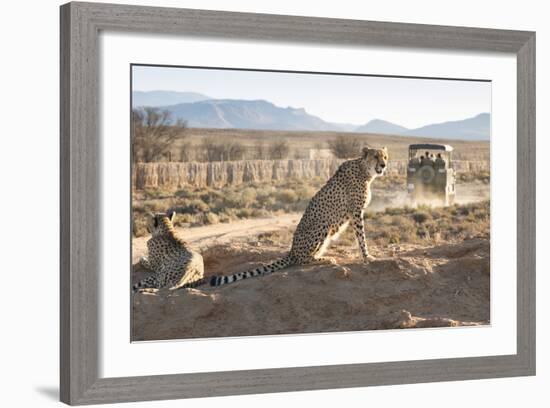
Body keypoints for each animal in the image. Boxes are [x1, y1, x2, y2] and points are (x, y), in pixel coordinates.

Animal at [209, 147, 390, 286]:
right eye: (375, 156)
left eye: (385, 156)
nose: (383, 165)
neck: (364, 170)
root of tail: (292, 251)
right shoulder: (356, 212)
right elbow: (361, 237)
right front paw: (367, 256)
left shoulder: (356, 212)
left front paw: (366, 256)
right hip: (322, 224)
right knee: (302, 260)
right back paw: (326, 259)